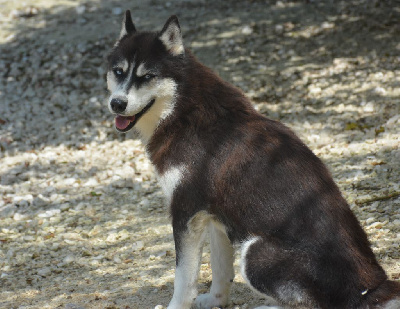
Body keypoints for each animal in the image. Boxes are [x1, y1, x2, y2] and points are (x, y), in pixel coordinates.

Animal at [106, 10, 400, 306]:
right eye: (118, 72)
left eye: (147, 76)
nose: (117, 103)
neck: (182, 109)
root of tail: (374, 288)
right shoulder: (215, 218)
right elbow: (220, 268)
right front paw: (216, 301)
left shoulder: (186, 214)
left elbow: (183, 278)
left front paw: (177, 306)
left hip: (254, 252)